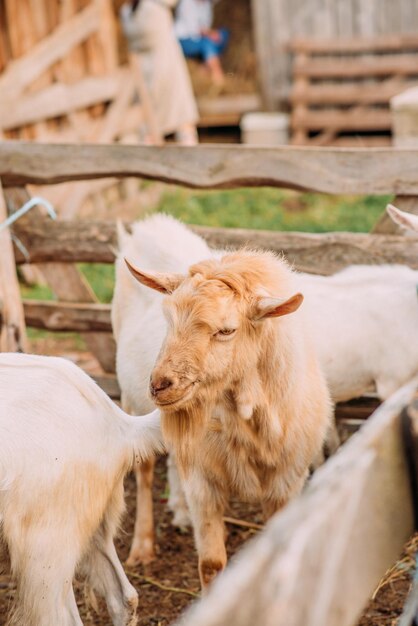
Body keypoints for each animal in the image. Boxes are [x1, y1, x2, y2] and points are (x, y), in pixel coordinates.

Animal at [125, 247, 332, 584]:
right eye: (168, 320)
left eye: (226, 330)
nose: (160, 385)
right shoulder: (202, 482)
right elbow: (211, 563)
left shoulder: (287, 484)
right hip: (131, 403)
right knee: (144, 472)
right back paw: (142, 547)